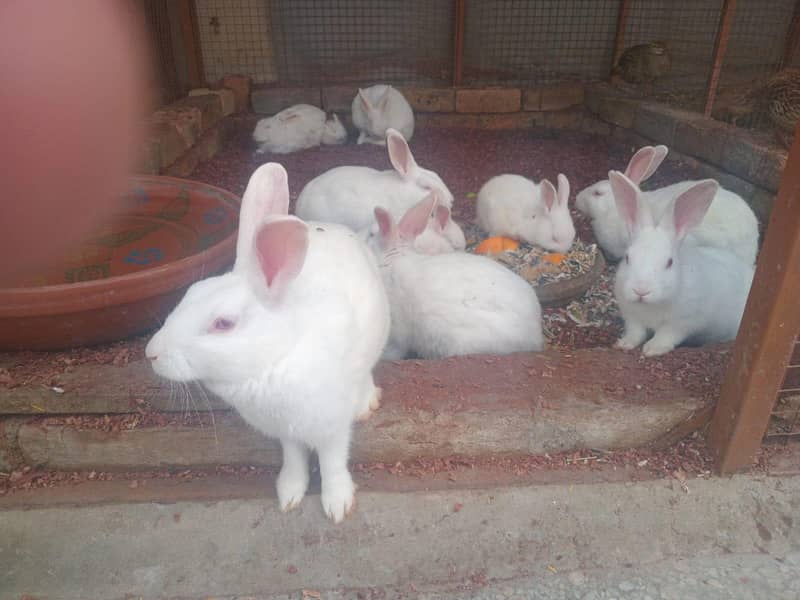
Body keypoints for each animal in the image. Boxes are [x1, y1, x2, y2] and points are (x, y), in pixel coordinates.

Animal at [145, 162, 390, 523]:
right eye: (190, 292)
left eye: (223, 324)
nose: (152, 354)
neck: (275, 358)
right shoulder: (285, 431)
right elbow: (294, 458)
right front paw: (289, 494)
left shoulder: (330, 427)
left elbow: (331, 463)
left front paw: (337, 505)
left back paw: (365, 403)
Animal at [609, 170, 754, 357]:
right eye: (627, 257)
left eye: (669, 262)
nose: (641, 290)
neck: (650, 307)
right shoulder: (632, 316)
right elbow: (636, 332)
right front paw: (624, 344)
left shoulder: (682, 323)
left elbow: (666, 335)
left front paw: (653, 349)